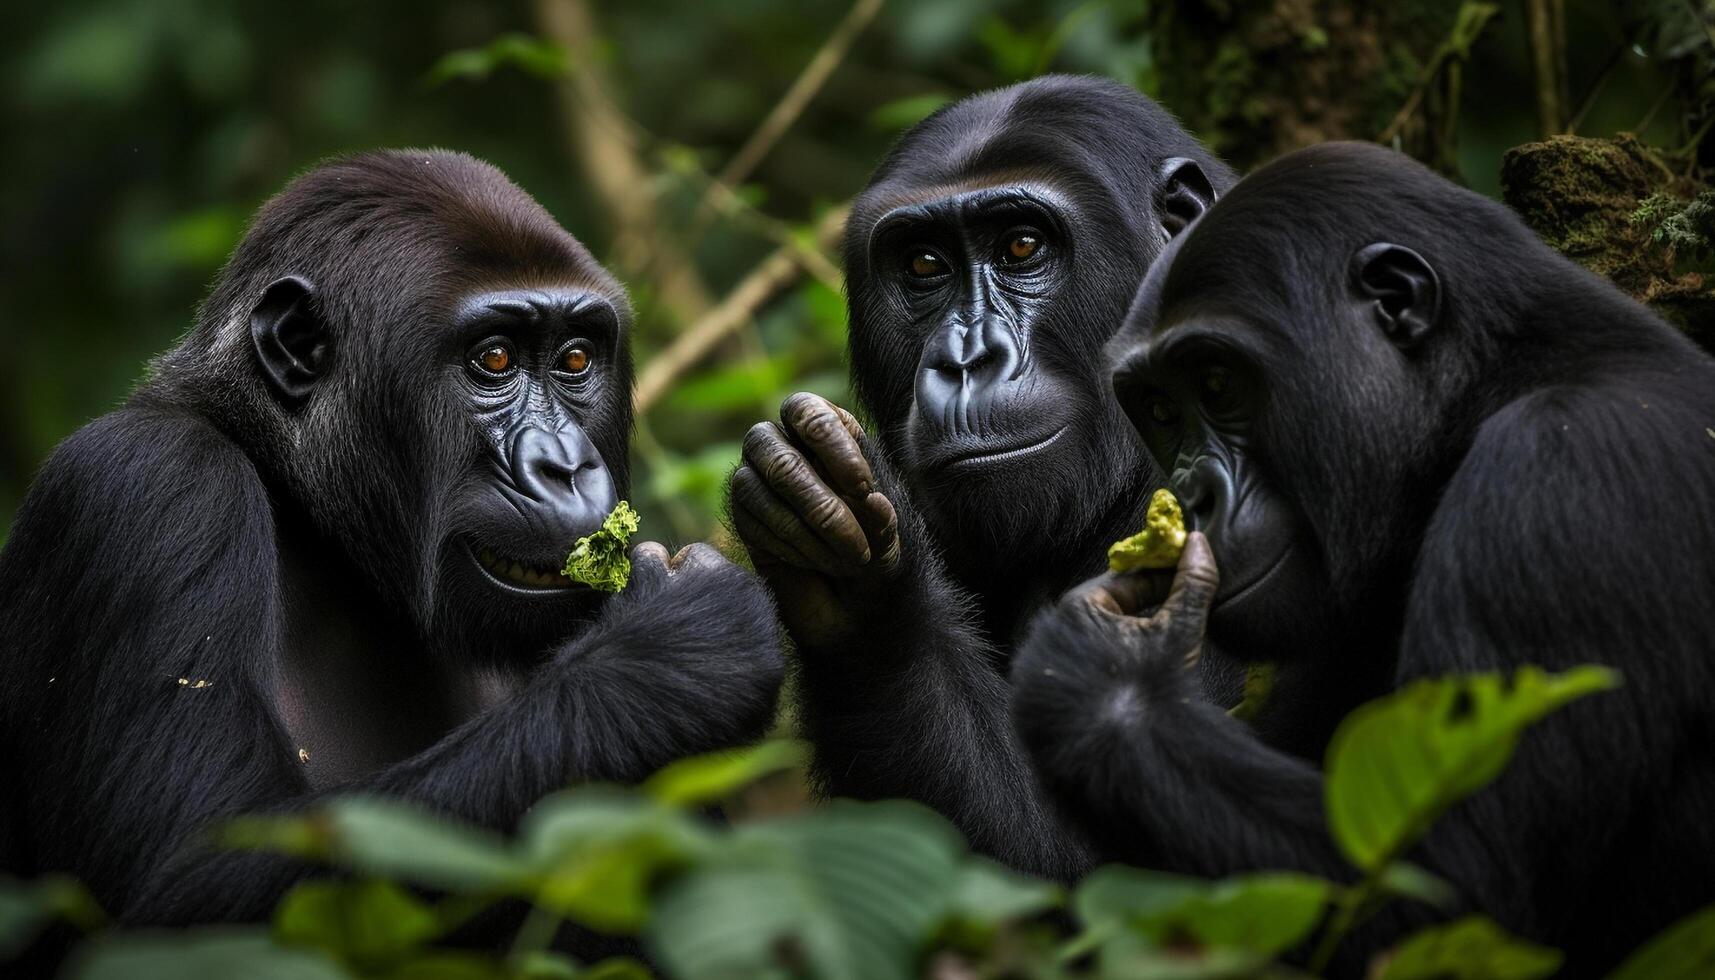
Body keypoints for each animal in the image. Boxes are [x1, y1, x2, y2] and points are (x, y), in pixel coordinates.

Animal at [0, 147, 785, 926]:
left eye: (574, 360)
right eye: (494, 360)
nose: (563, 466)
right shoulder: (151, 485)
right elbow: (189, 872)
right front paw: (676, 657)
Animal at [1008, 141, 1708, 974]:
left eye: (1215, 382)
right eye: (1159, 409)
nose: (1191, 493)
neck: (1480, 392)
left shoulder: (1556, 479)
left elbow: (1450, 894)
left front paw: (1101, 673)